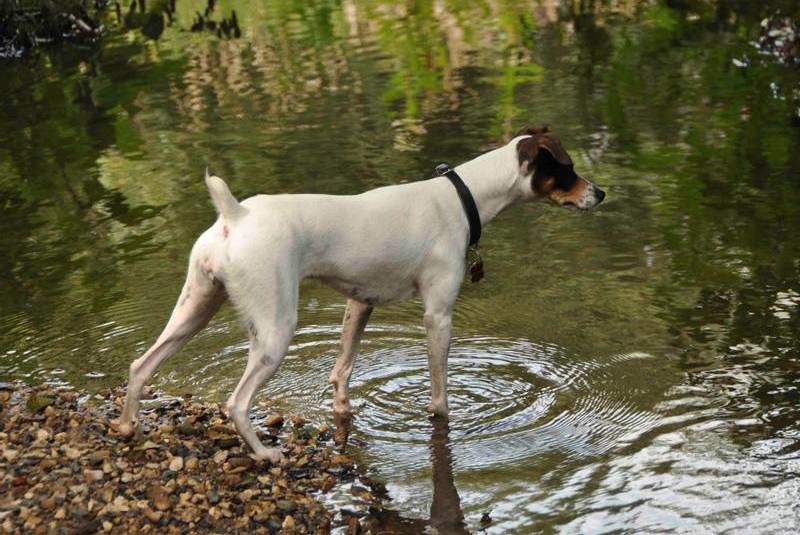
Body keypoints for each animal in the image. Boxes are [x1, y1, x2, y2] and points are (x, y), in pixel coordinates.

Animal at [117, 124, 608, 460]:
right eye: (567, 170)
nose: (601, 193)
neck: (462, 196)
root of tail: (235, 216)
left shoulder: (360, 302)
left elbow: (342, 370)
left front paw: (342, 411)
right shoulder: (438, 316)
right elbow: (440, 394)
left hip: (195, 309)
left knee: (141, 366)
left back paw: (127, 428)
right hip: (274, 330)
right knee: (236, 403)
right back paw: (265, 453)